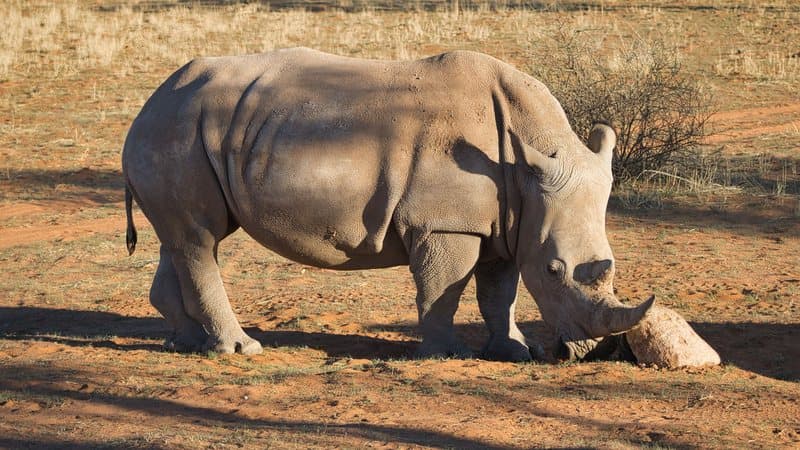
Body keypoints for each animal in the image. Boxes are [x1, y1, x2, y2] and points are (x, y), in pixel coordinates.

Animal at [122, 47, 654, 361]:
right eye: (554, 271)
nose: (583, 351)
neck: (528, 156)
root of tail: (149, 103)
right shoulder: (447, 223)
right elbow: (444, 289)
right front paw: (445, 354)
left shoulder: (507, 221)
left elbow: (499, 293)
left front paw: (514, 352)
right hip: (176, 133)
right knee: (199, 238)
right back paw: (241, 349)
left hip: (187, 131)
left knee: (184, 239)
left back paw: (190, 343)